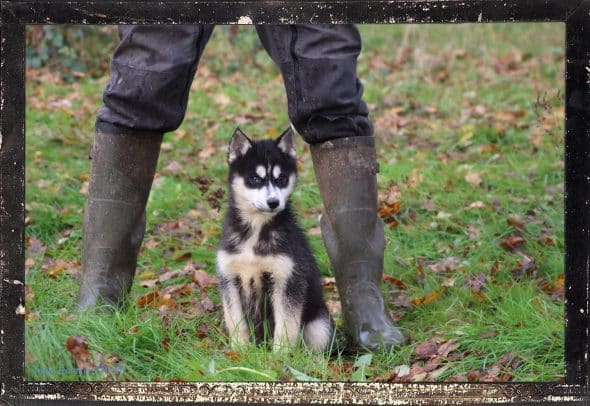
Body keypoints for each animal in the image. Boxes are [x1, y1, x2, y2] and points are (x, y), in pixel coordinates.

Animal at [217, 127, 336, 352]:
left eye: (281, 179)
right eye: (255, 179)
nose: (273, 202)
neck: (256, 229)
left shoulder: (288, 280)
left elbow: (286, 327)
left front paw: (279, 355)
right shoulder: (230, 279)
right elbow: (236, 321)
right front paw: (240, 351)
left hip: (319, 323)